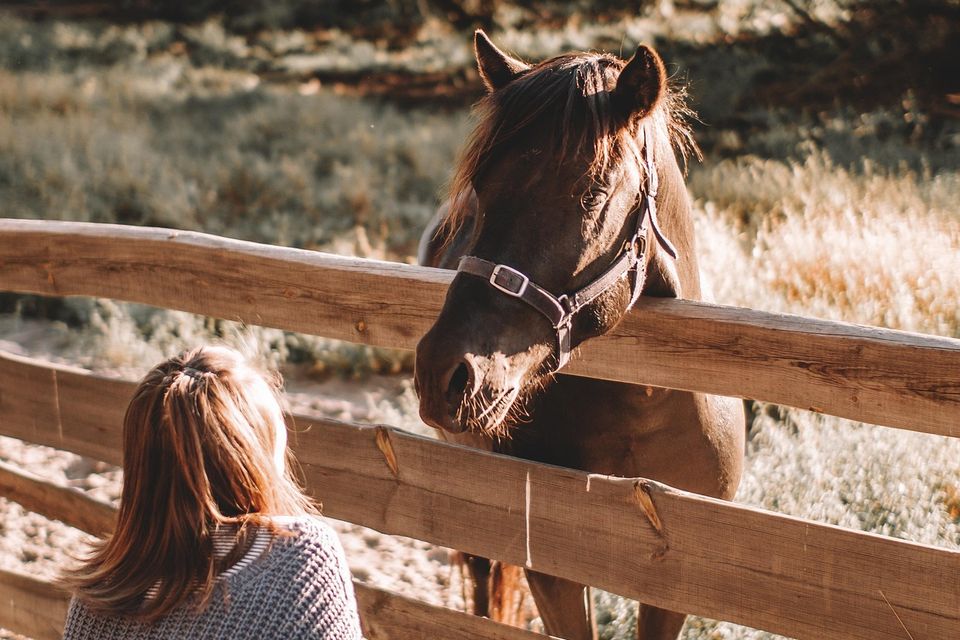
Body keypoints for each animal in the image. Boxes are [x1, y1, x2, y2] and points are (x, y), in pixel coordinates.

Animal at [414, 31, 745, 640]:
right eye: (480, 188)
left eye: (592, 193)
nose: (443, 372)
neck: (644, 403)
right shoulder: (557, 571)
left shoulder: (676, 574)